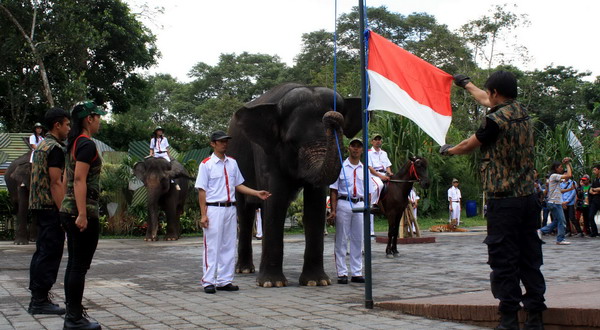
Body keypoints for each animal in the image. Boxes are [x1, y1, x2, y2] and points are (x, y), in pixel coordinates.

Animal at [229, 82, 360, 286]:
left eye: (342, 141)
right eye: (292, 142)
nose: (331, 117)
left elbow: (315, 202)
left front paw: (317, 282)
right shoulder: (266, 153)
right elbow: (276, 198)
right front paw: (271, 283)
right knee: (245, 211)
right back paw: (245, 270)